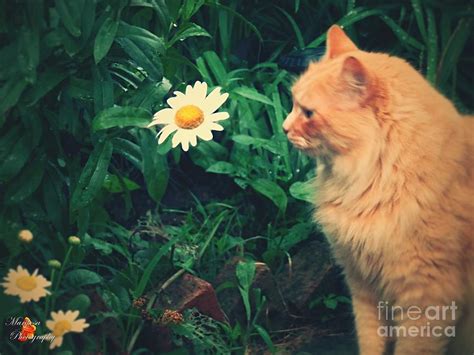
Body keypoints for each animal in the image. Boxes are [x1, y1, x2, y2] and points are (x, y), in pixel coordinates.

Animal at [284, 25, 472, 355]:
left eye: (308, 113)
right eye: (294, 104)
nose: (283, 128)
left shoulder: (425, 299)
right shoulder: (364, 287)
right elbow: (370, 341)